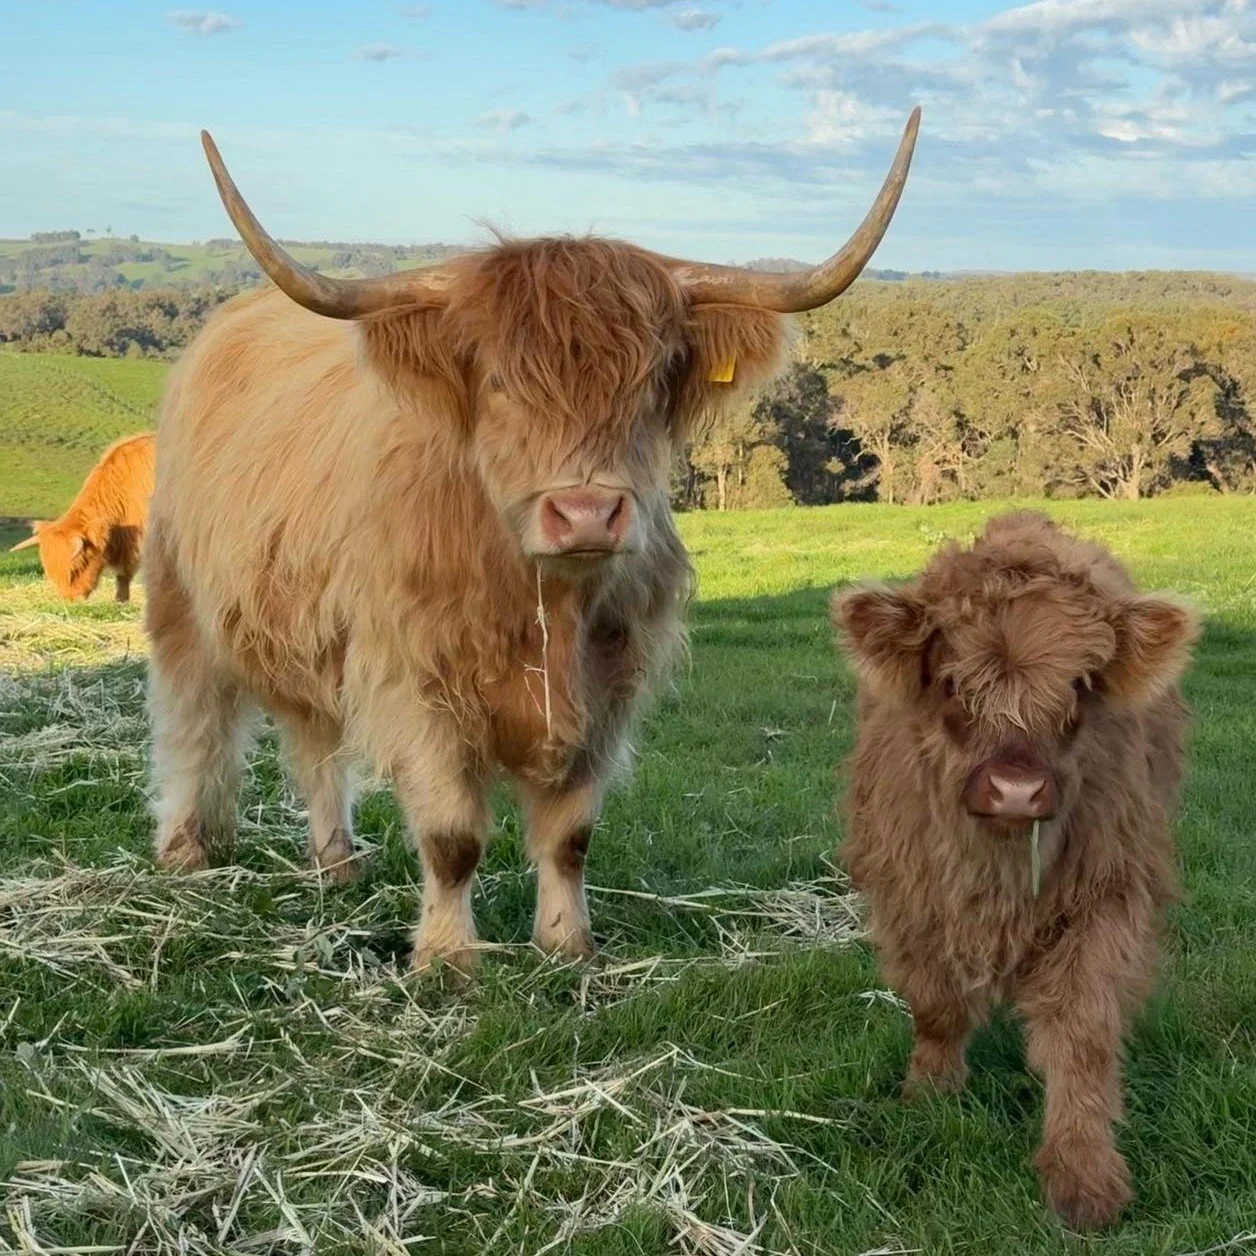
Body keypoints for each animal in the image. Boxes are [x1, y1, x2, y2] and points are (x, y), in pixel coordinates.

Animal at [144, 110, 921, 975]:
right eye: (497, 382)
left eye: (654, 379)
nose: (584, 513)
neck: (542, 599)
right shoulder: (418, 683)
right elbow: (452, 838)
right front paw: (448, 958)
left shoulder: (609, 684)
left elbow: (570, 835)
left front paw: (567, 943)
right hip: (179, 600)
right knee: (192, 723)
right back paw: (184, 851)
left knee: (314, 740)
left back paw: (337, 861)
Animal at [832, 511, 1198, 1230]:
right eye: (951, 682)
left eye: (1080, 684)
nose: (1017, 790)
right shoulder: (910, 896)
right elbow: (937, 1006)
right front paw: (929, 1092)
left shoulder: (1107, 897)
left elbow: (1082, 1033)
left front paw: (1083, 1177)